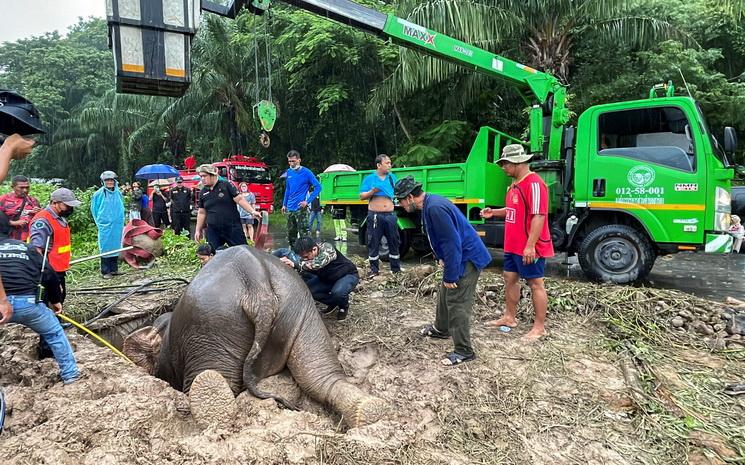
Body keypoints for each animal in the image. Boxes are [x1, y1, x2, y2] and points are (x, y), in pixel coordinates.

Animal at [122, 245, 386, 427]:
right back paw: (370, 411)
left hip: (211, 327)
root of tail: (254, 283)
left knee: (212, 378)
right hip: (302, 310)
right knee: (319, 375)